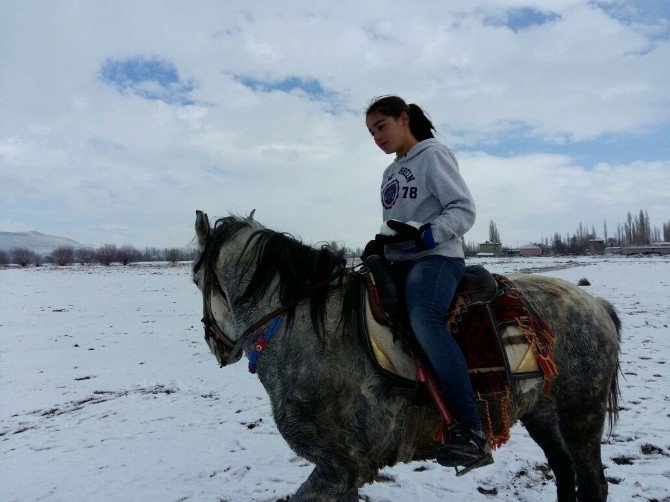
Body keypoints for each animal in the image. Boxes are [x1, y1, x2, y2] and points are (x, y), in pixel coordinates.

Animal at [192, 210, 624, 500]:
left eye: (196, 279)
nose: (216, 346)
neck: (308, 332)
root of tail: (596, 304)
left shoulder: (339, 469)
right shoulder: (343, 473)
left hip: (581, 416)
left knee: (592, 483)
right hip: (541, 412)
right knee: (564, 471)